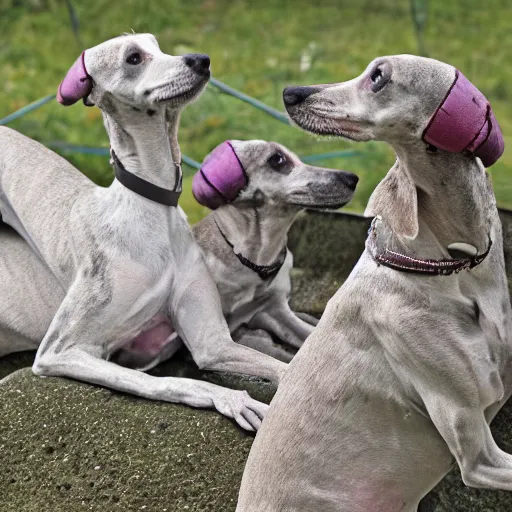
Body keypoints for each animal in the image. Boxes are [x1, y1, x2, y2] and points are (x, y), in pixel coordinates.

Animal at [0, 33, 286, 432]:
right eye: (133, 57)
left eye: (158, 45)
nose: (201, 59)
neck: (153, 206)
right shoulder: (62, 350)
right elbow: (160, 381)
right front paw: (232, 399)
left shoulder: (214, 343)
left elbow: (286, 368)